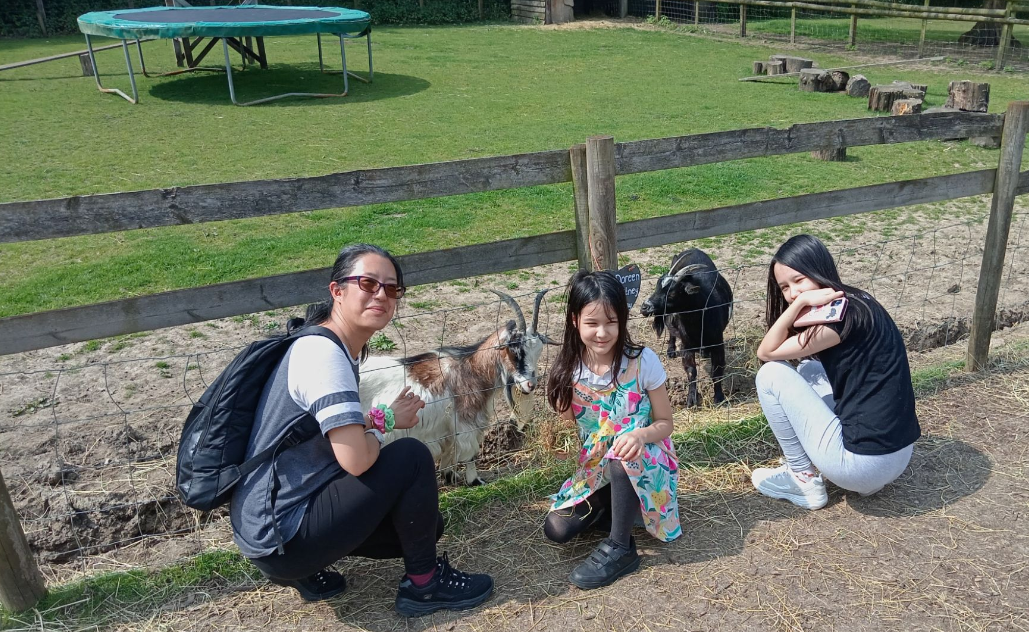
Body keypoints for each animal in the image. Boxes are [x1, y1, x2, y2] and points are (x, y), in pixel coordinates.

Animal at [359, 290, 555, 485]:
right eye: (514, 351)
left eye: (538, 352)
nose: (531, 385)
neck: (472, 369)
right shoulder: (466, 421)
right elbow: (470, 453)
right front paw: (475, 481)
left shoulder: (449, 429)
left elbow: (450, 451)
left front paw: (450, 476)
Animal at [640, 248, 733, 408]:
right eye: (657, 286)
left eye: (672, 293)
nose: (644, 307)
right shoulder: (687, 344)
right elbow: (691, 371)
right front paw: (691, 399)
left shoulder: (718, 342)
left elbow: (717, 370)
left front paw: (719, 398)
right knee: (671, 331)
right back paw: (671, 350)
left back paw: (703, 352)